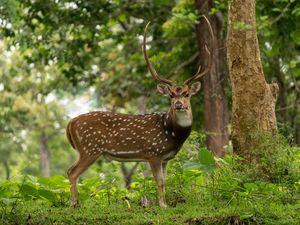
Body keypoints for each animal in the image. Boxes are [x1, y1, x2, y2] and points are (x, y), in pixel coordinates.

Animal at [67, 15, 214, 208]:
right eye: (171, 95)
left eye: (187, 94)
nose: (178, 104)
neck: (173, 133)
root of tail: (70, 123)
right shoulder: (153, 153)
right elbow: (159, 181)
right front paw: (162, 206)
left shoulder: (165, 158)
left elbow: (165, 181)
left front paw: (163, 203)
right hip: (89, 148)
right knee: (72, 172)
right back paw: (74, 204)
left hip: (86, 149)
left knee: (70, 171)